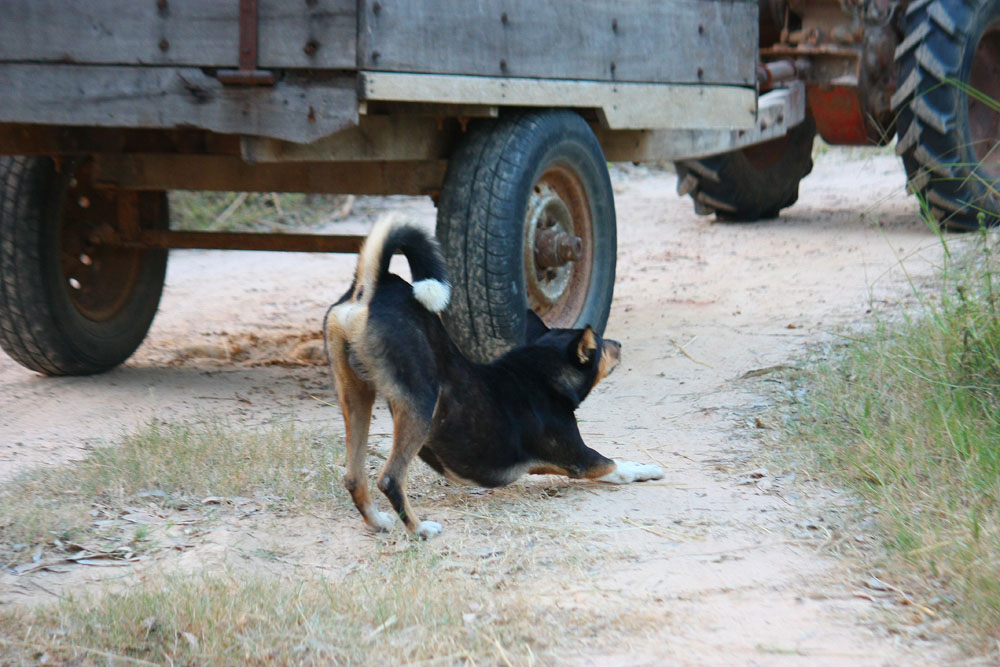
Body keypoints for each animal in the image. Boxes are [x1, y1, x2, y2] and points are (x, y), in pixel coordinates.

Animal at [322, 217, 664, 540]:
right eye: (600, 346)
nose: (618, 344)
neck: (539, 372)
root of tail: (373, 288)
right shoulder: (581, 458)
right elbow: (618, 466)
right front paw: (648, 468)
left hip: (357, 397)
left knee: (354, 478)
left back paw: (378, 522)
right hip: (420, 401)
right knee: (390, 479)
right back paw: (420, 530)